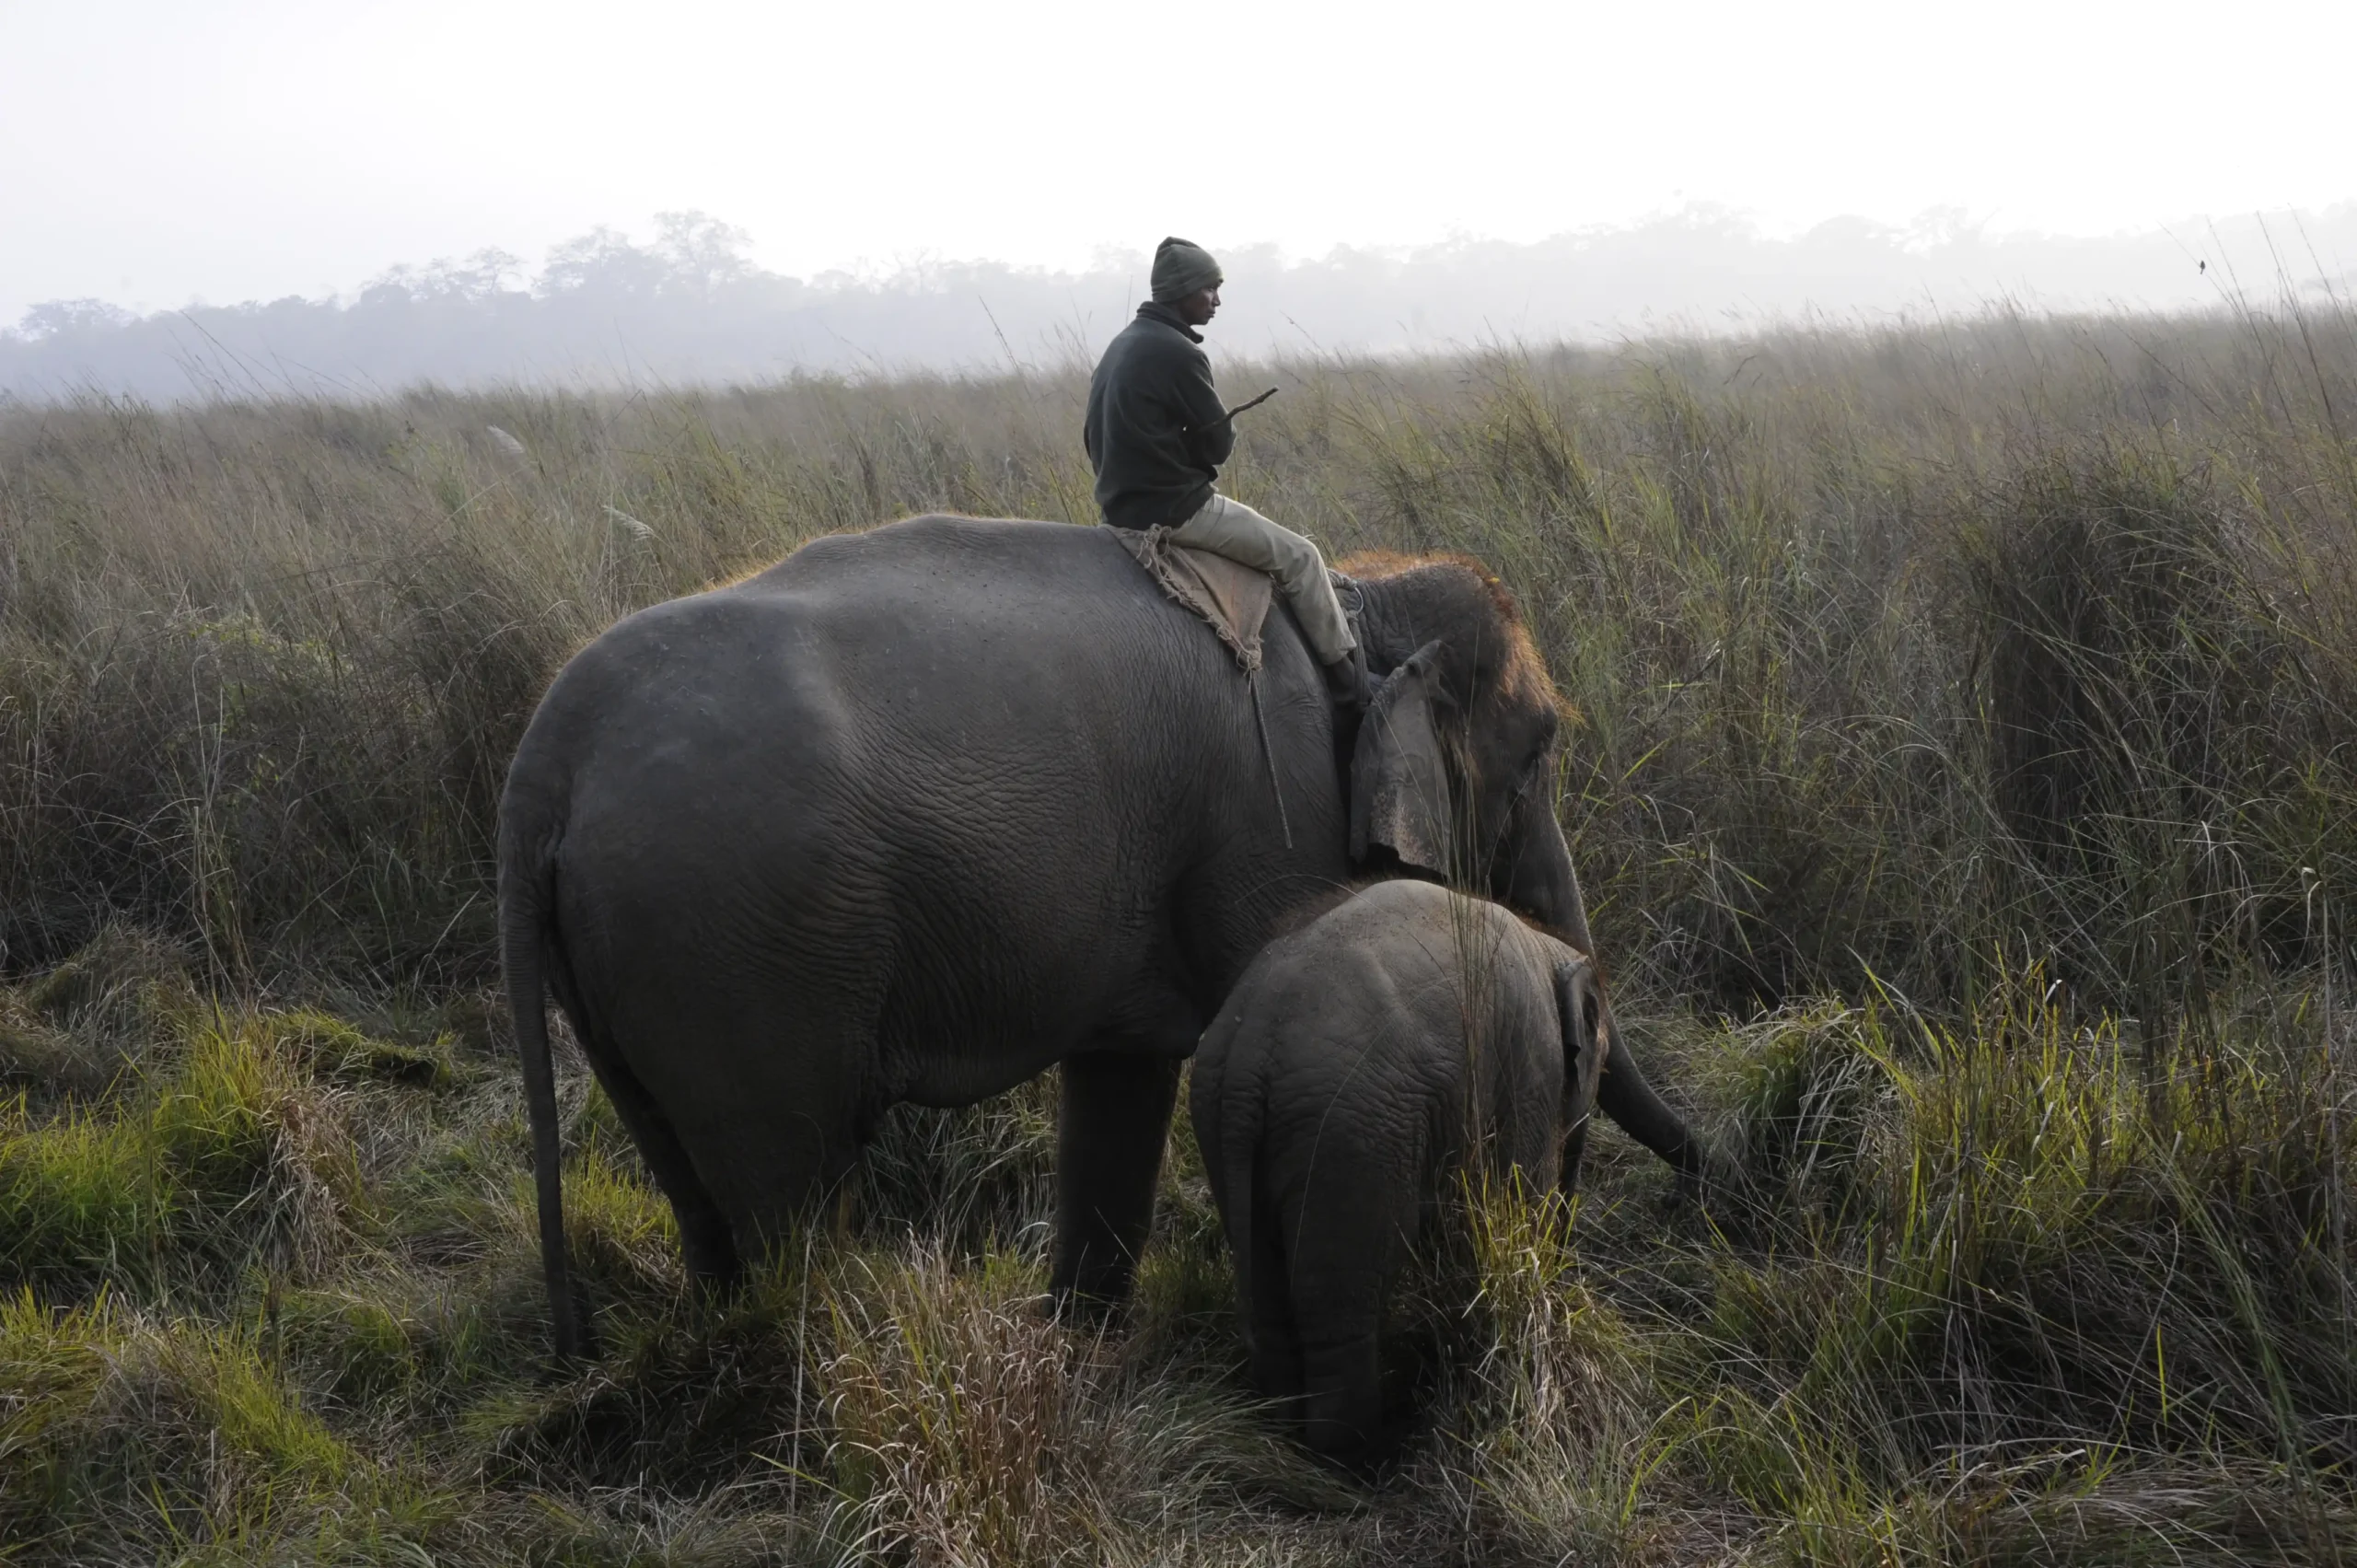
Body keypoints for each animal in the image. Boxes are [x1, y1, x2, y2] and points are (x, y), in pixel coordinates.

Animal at [498, 515, 1706, 1355]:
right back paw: (833, 1363)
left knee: (686, 1173)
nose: (1704, 1189)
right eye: (1539, 751)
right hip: (739, 946)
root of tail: (548, 750)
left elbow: (1124, 1074)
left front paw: (1081, 1342)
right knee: (785, 1186)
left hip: (638, 960)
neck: (1361, 606)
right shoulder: (1268, 822)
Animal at [1189, 877, 1608, 1461]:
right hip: (1354, 1138)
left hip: (1227, 1120)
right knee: (1343, 1311)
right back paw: (1359, 1452)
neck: (1548, 946)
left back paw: (1286, 1433)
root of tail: (1250, 1054)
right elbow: (1517, 1201)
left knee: (1270, 1299)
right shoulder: (1530, 1067)